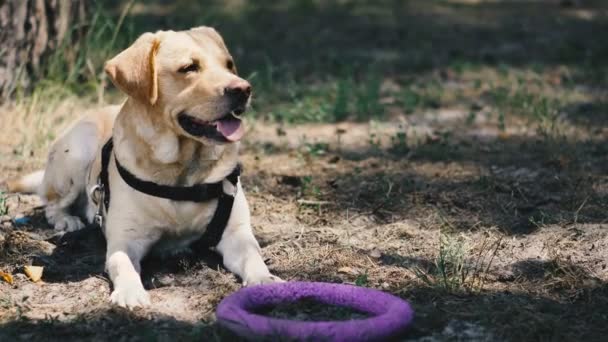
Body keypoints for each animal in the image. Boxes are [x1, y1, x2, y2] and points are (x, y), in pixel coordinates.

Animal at [7, 27, 282, 308]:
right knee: (51, 203)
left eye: (229, 65)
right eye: (189, 67)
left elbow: (254, 257)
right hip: (77, 152)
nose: (244, 89)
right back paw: (67, 220)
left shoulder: (236, 234)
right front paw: (130, 291)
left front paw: (265, 280)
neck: (182, 172)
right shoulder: (125, 240)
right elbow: (123, 264)